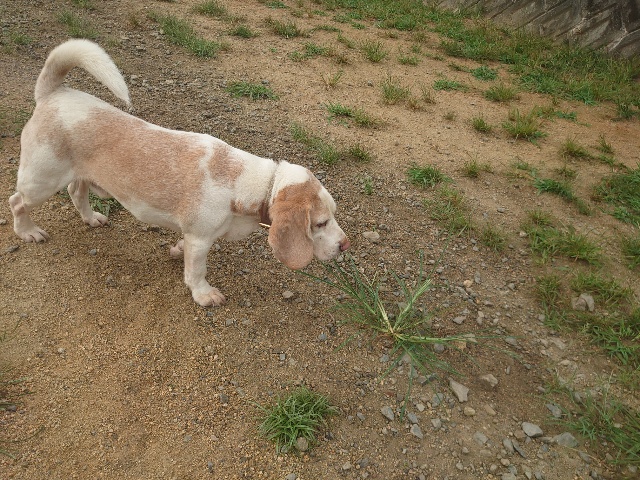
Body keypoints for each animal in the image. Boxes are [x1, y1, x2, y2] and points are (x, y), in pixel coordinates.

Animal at [9, 39, 350, 306]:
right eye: (320, 223)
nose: (345, 245)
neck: (251, 181)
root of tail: (53, 93)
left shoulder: (195, 236)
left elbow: (183, 250)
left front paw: (177, 251)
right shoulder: (201, 239)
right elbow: (197, 271)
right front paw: (204, 294)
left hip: (80, 176)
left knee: (75, 192)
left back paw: (90, 218)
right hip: (40, 182)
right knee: (17, 202)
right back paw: (28, 231)